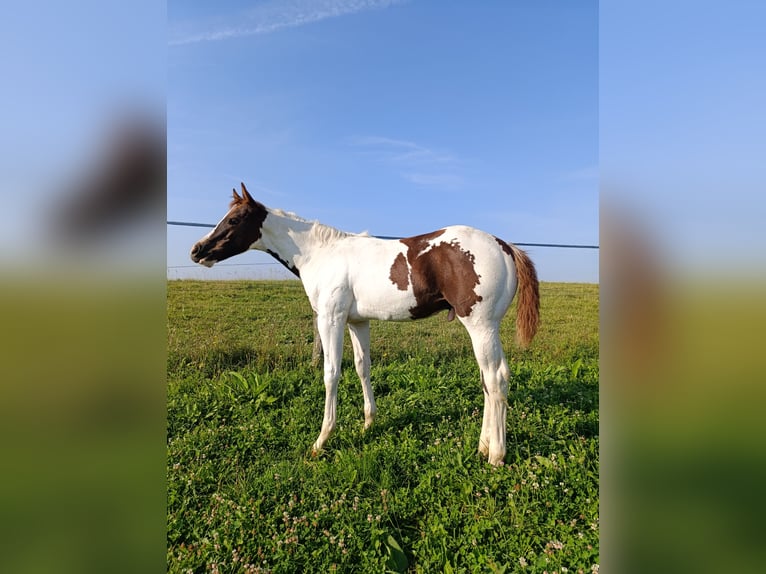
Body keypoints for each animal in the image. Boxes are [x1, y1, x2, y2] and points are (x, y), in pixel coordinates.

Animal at [191, 184, 540, 468]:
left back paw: (496, 455)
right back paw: (483, 446)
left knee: (495, 379)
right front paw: (368, 424)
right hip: (486, 329)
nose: (197, 250)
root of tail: (505, 246)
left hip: (481, 326)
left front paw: (321, 440)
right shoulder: (357, 322)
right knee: (491, 380)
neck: (320, 254)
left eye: (234, 220)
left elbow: (331, 373)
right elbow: (363, 367)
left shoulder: (330, 318)